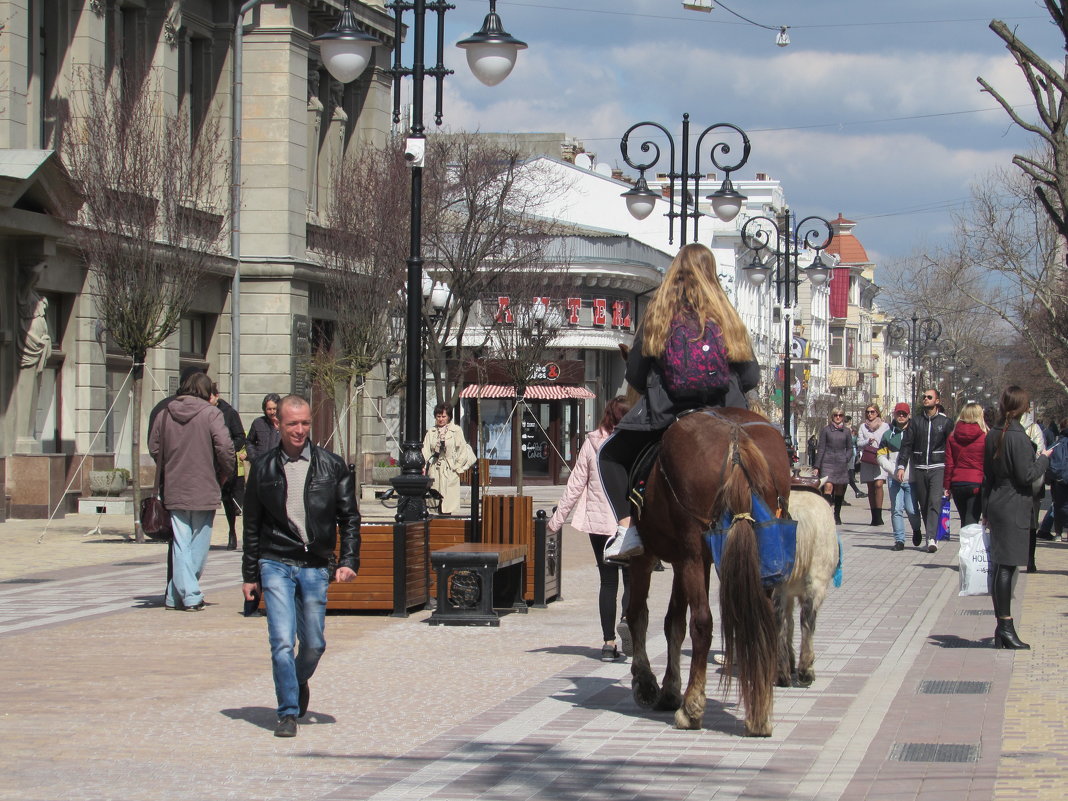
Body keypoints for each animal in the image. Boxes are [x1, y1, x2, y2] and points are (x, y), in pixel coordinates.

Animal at [623, 410, 794, 739]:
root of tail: (737, 444)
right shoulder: (686, 561)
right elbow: (673, 623)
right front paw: (669, 689)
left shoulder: (648, 558)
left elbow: (639, 613)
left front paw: (646, 682)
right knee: (764, 620)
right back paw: (759, 714)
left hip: (689, 552)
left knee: (702, 622)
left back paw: (691, 708)